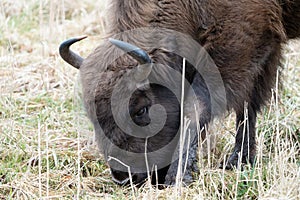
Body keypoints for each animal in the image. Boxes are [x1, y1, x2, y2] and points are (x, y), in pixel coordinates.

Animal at [59, 0, 300, 186]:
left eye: (141, 110)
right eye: (92, 115)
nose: (123, 177)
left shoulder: (240, 40)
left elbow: (199, 105)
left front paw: (179, 177)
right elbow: (247, 106)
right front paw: (239, 161)